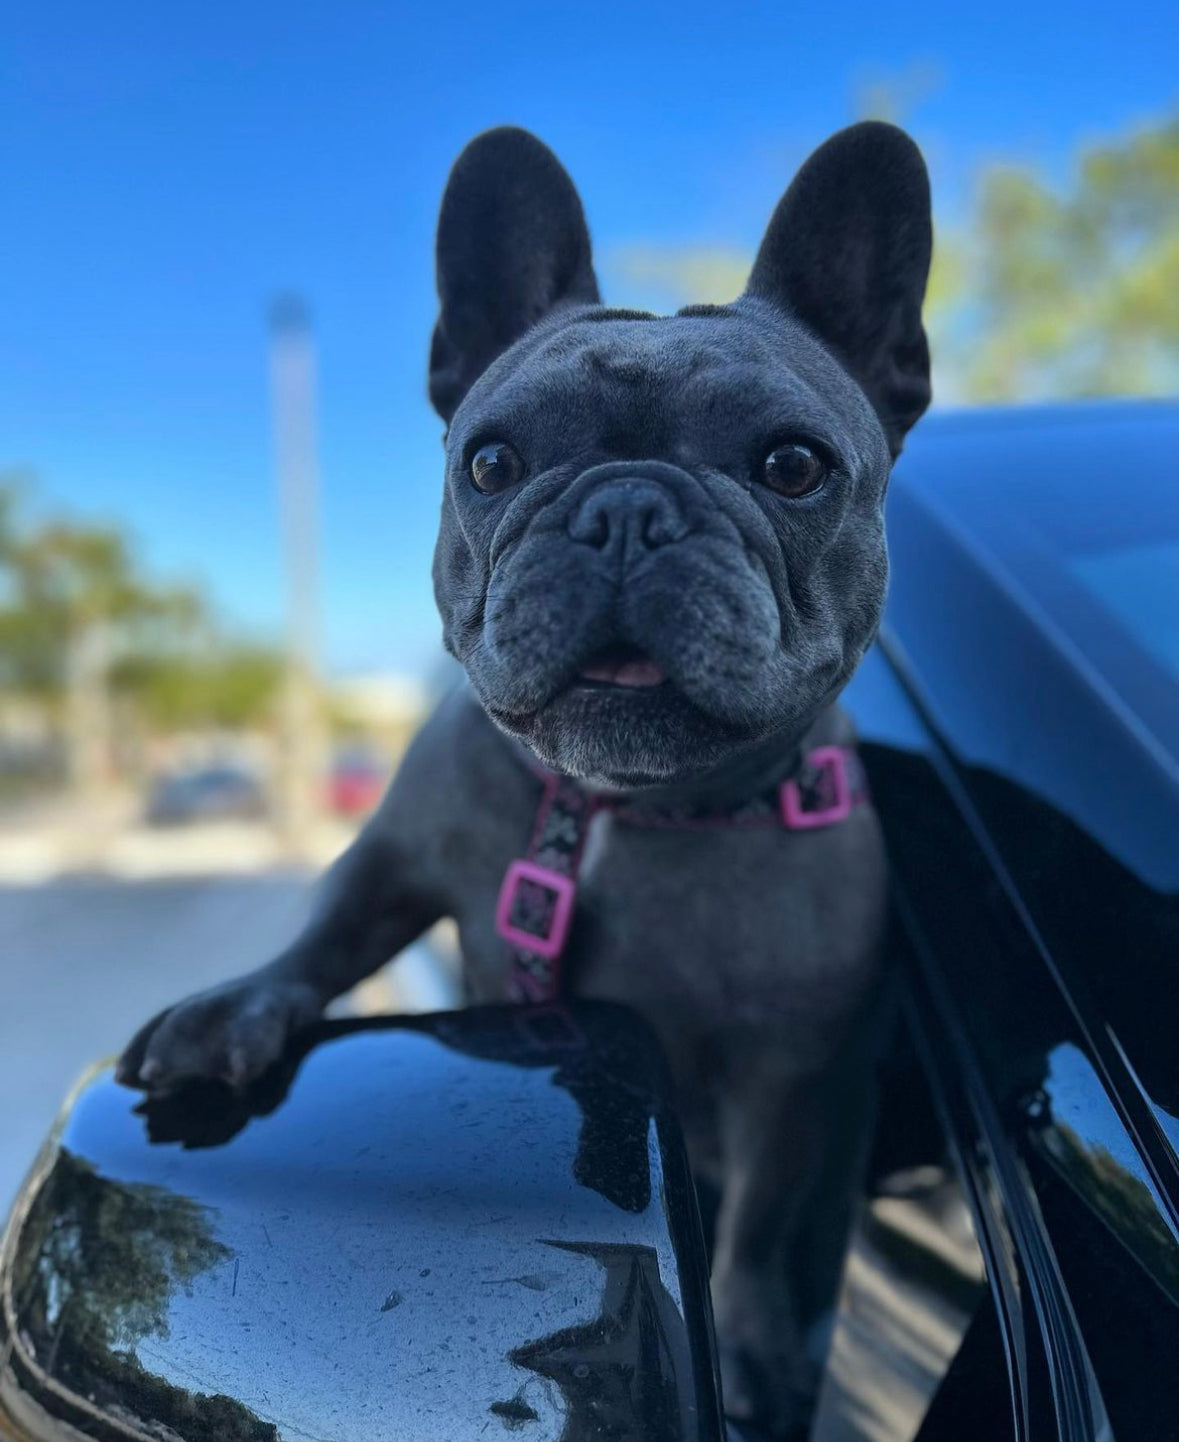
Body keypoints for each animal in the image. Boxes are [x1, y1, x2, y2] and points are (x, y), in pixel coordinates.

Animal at [119, 121, 928, 1430]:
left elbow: (756, 1228)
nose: (627, 508)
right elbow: (328, 932)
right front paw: (231, 1005)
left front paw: (752, 1347)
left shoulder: (790, 1073)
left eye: (794, 465)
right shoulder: (398, 853)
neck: (621, 808)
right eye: (492, 461)